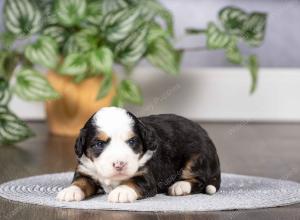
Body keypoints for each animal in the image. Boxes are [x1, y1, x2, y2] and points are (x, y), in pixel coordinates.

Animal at [56, 106, 220, 203]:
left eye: (132, 141)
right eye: (99, 144)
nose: (119, 164)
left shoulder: (145, 176)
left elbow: (133, 182)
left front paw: (121, 192)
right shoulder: (85, 171)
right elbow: (80, 182)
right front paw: (70, 191)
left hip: (195, 158)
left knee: (199, 180)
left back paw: (179, 186)